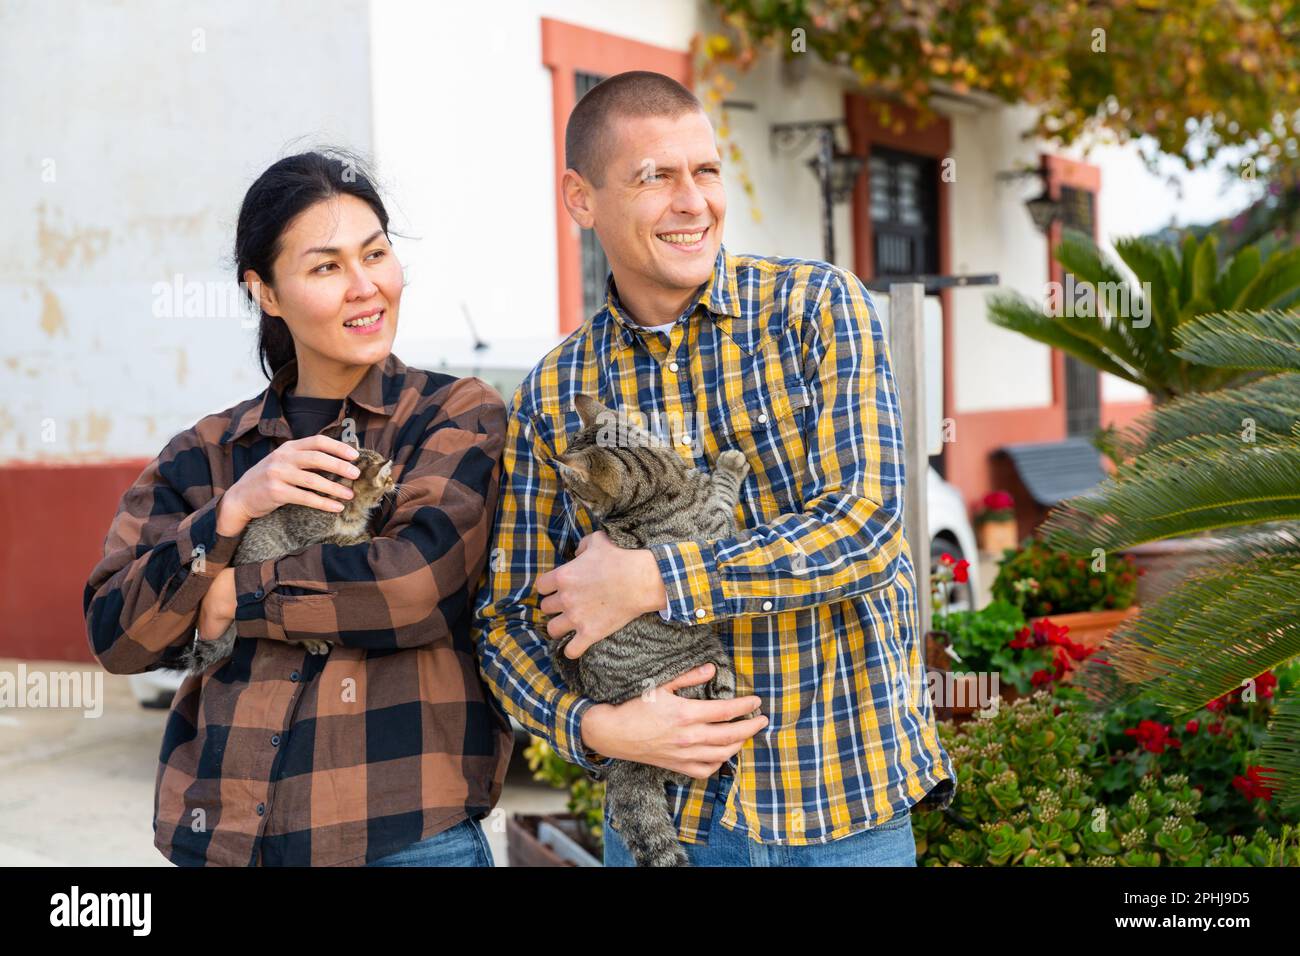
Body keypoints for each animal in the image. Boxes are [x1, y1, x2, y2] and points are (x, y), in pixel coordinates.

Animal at [179, 447, 395, 671]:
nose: (394, 482)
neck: (349, 508)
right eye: (387, 477)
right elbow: (334, 539)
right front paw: (359, 537)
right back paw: (312, 640)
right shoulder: (308, 539)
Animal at [548, 392, 759, 868]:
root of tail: (627, 762)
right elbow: (722, 494)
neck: (661, 478)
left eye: (572, 488)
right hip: (715, 671)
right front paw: (730, 464)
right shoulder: (716, 530)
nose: (565, 493)